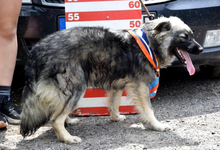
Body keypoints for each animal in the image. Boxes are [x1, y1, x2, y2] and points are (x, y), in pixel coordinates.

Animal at [20, 16, 203, 143]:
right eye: (184, 37)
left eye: (192, 35)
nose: (201, 49)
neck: (150, 43)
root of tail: (37, 50)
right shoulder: (141, 87)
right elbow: (149, 109)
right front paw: (157, 125)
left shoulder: (119, 85)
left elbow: (114, 103)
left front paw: (115, 117)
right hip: (76, 88)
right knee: (54, 119)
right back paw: (67, 138)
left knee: (57, 111)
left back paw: (69, 121)